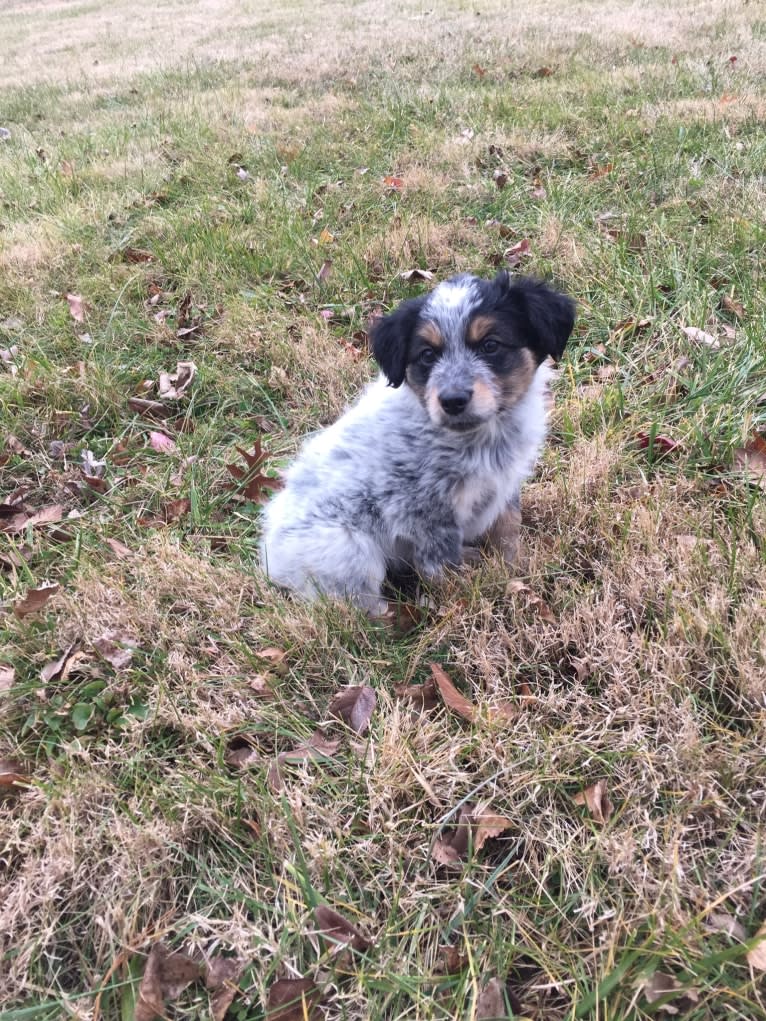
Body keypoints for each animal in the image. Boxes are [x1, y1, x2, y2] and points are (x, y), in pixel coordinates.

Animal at [261, 269, 571, 612]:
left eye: (491, 345)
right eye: (427, 355)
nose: (452, 400)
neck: (479, 437)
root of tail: (271, 560)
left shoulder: (503, 486)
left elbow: (508, 529)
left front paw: (514, 569)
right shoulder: (424, 509)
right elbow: (441, 562)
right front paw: (461, 596)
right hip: (349, 551)